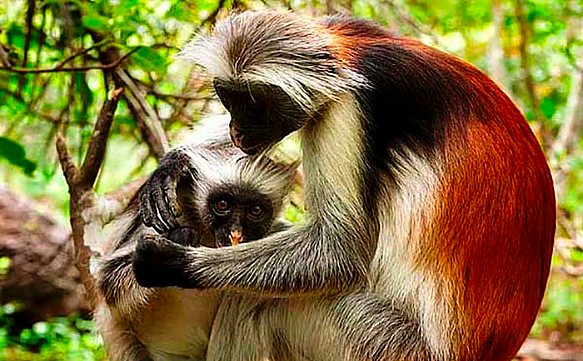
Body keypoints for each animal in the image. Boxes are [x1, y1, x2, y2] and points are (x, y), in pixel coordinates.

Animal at [95, 116, 298, 358]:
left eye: (255, 211)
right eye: (222, 205)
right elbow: (109, 279)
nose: (235, 232)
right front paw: (177, 242)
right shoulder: (161, 215)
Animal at [132, 10, 556, 360]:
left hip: (386, 344)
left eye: (254, 103)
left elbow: (341, 252)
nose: (237, 131)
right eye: (227, 98)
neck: (347, 57)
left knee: (254, 302)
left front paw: (176, 263)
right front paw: (178, 158)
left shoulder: (348, 108)